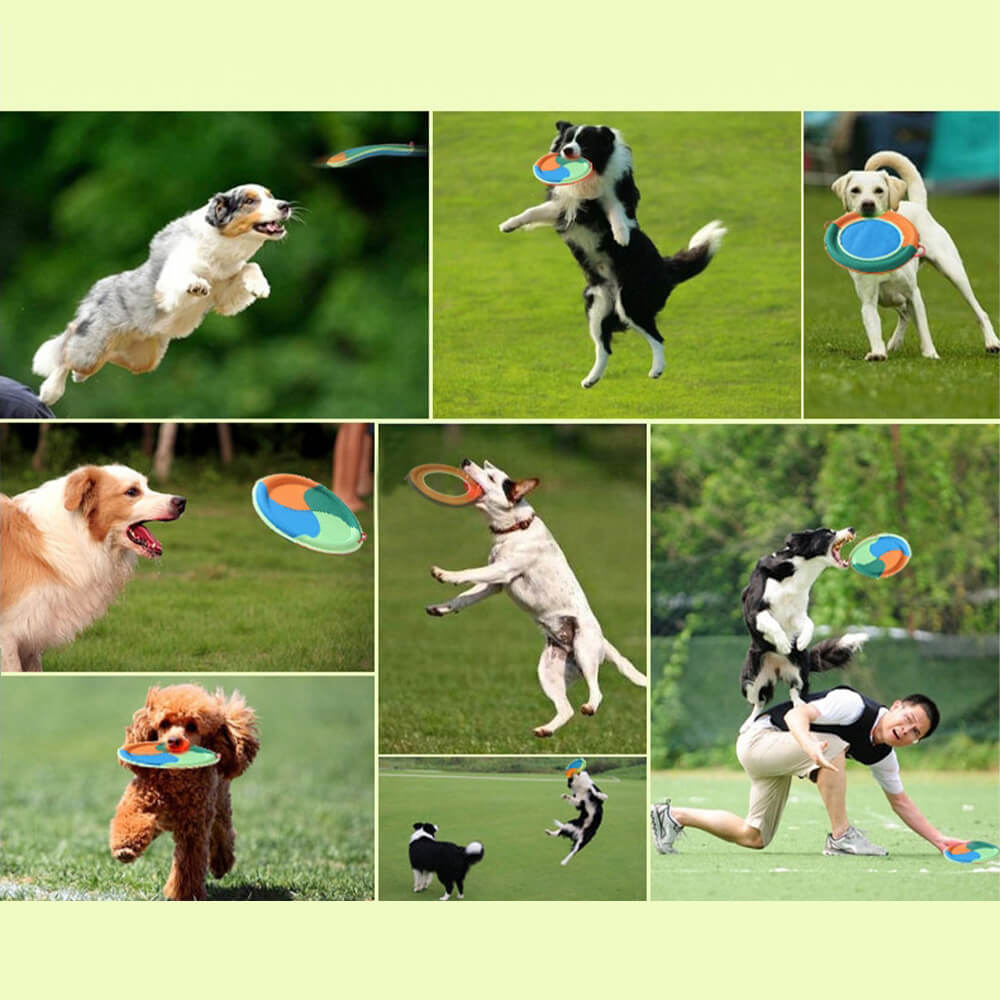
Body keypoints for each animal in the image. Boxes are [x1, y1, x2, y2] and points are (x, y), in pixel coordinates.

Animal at [31, 186, 290, 404]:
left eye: (270, 195)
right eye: (249, 201)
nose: (285, 205)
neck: (221, 248)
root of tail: (96, 291)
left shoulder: (224, 294)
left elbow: (251, 266)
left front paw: (260, 286)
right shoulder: (168, 281)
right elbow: (180, 277)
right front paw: (196, 284)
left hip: (143, 360)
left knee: (101, 359)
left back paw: (78, 378)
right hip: (92, 347)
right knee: (67, 347)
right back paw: (50, 391)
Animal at [424, 460, 644, 736]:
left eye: (491, 476)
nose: (465, 461)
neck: (516, 528)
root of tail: (603, 642)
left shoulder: (503, 570)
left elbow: (468, 573)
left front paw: (444, 574)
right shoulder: (495, 585)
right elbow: (464, 597)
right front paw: (440, 607)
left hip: (585, 649)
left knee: (597, 691)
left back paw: (589, 706)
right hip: (549, 671)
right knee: (566, 709)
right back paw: (545, 730)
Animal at [500, 122, 728, 390]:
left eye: (584, 142)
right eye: (567, 140)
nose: (567, 150)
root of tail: (665, 267)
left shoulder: (609, 197)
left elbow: (616, 211)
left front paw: (622, 236)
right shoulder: (564, 206)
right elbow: (533, 212)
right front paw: (508, 225)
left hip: (630, 300)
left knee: (657, 337)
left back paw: (657, 369)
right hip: (597, 303)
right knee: (604, 346)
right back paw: (591, 379)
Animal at [736, 528, 868, 724]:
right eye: (828, 533)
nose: (851, 529)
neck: (798, 573)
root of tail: (777, 668)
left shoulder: (797, 613)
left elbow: (809, 623)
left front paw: (801, 641)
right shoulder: (755, 611)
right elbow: (773, 624)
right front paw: (783, 643)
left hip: (800, 670)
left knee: (795, 691)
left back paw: (799, 704)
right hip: (750, 679)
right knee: (759, 701)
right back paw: (747, 723)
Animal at [828, 149, 1000, 360]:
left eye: (879, 190)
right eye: (855, 190)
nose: (867, 204)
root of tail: (917, 205)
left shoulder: (914, 294)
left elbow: (924, 328)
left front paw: (931, 354)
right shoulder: (869, 299)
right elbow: (873, 327)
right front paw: (877, 353)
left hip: (954, 273)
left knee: (978, 310)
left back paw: (992, 342)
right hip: (891, 298)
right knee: (903, 314)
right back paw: (894, 343)